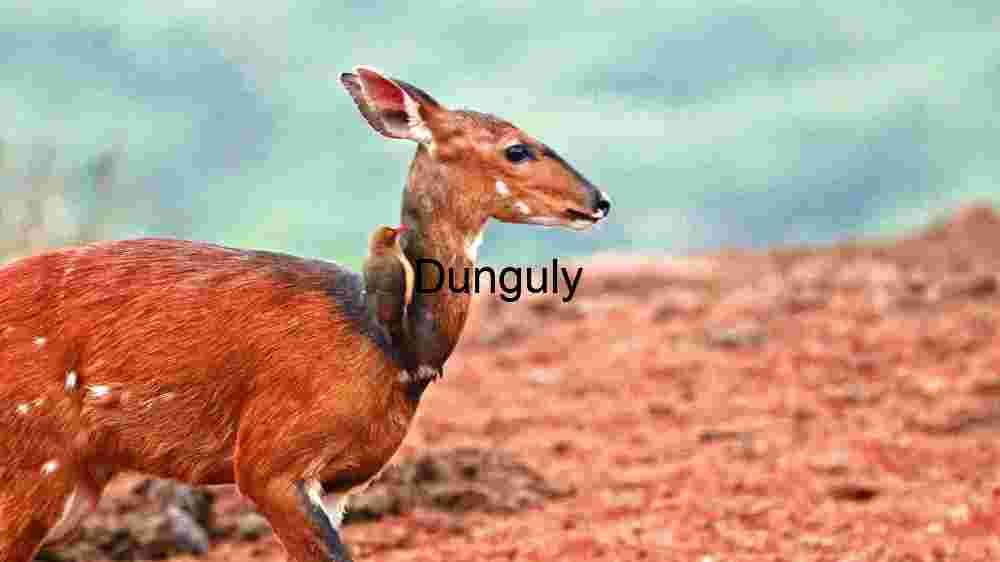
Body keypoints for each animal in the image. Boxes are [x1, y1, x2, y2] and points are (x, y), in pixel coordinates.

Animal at [0, 66, 611, 562]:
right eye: (516, 149)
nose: (598, 201)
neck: (391, 345)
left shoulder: (339, 483)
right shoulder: (269, 466)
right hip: (36, 467)